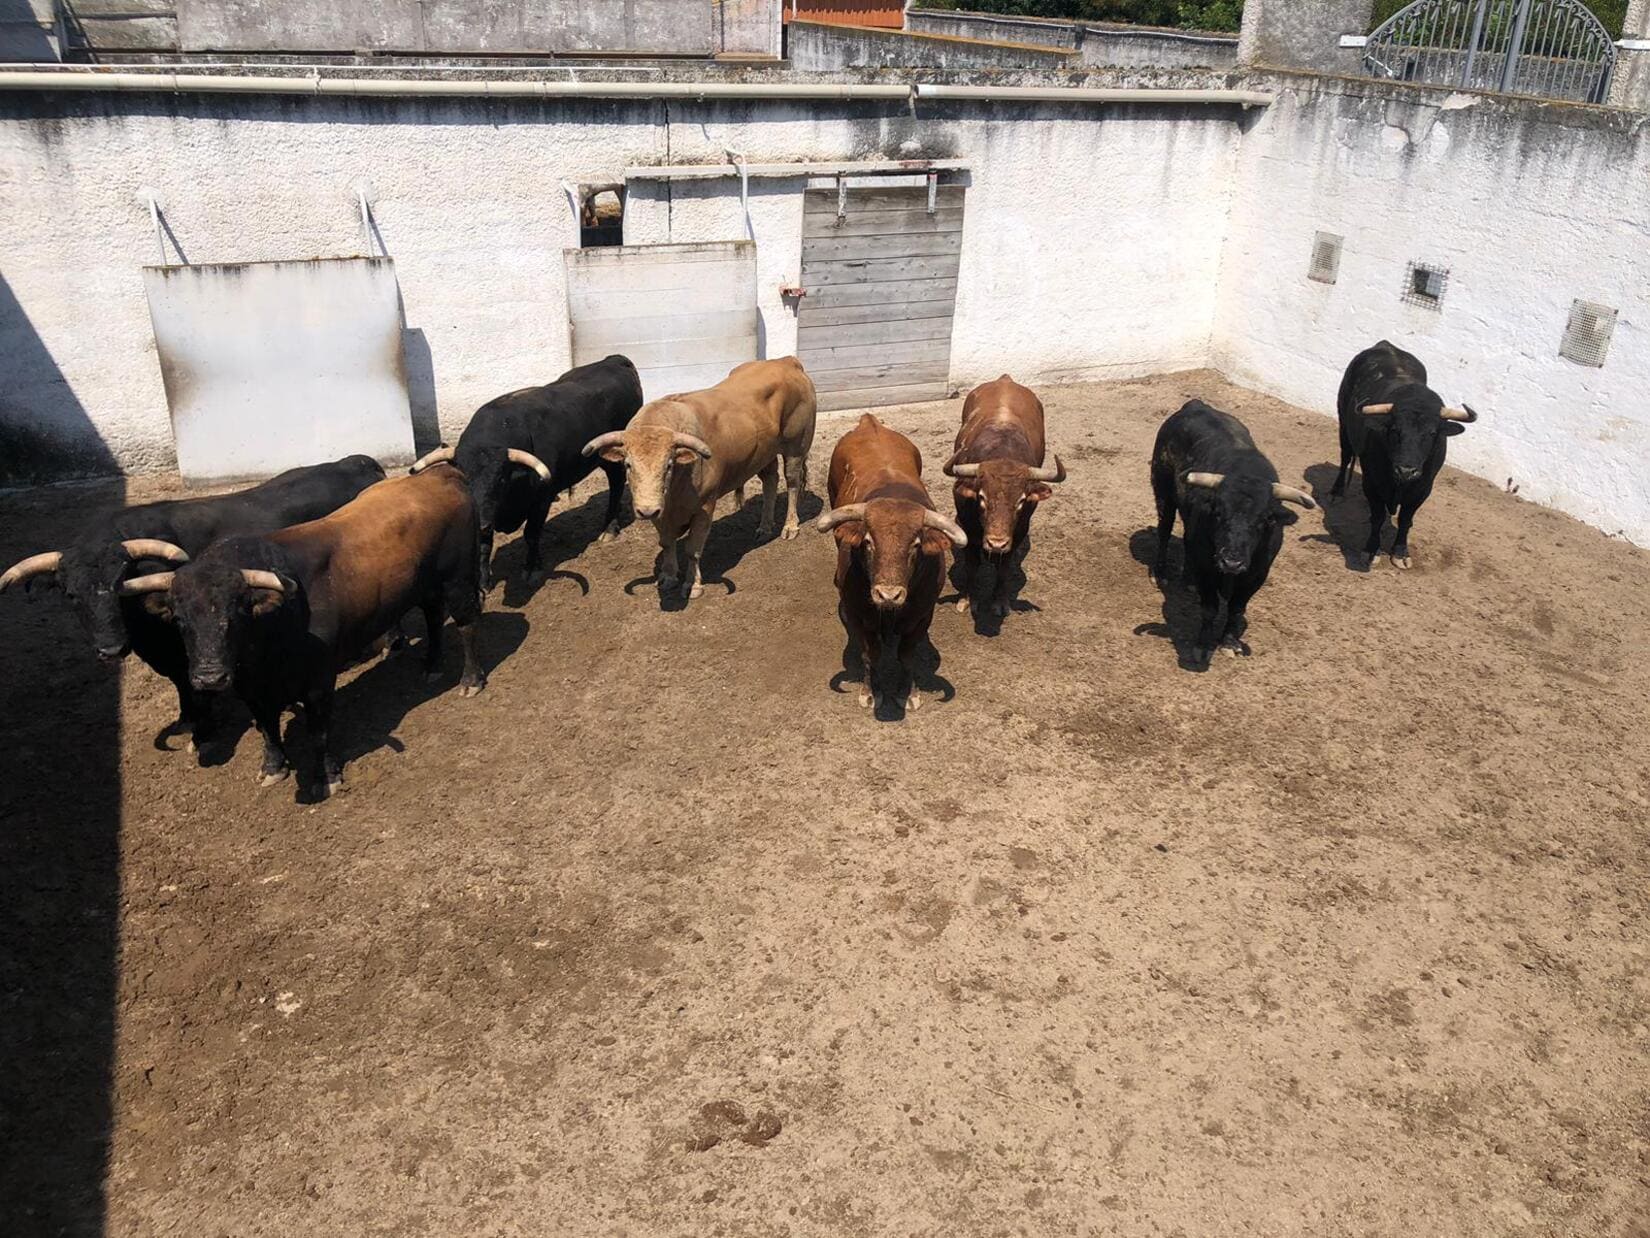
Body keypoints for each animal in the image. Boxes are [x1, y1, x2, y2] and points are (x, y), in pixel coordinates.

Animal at [584, 356, 821, 604]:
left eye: (669, 465)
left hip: (796, 447)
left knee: (792, 483)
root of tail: (785, 361)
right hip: (764, 452)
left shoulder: (704, 507)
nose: (647, 510)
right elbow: (666, 542)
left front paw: (693, 584)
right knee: (770, 480)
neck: (676, 490)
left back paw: (790, 527)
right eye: (628, 464)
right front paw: (668, 576)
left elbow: (693, 549)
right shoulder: (661, 513)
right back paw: (764, 527)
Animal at [815, 414, 963, 713]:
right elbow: (870, 654)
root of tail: (869, 422)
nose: (888, 595)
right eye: (868, 541)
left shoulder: (921, 615)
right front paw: (871, 692)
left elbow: (906, 655)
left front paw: (909, 693)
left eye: (916, 545)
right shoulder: (860, 615)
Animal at [943, 373, 1069, 617]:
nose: (996, 543)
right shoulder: (966, 526)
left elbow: (1005, 567)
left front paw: (1000, 601)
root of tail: (1005, 379)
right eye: (982, 497)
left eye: (1021, 501)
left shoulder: (1019, 531)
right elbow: (971, 564)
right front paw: (967, 599)